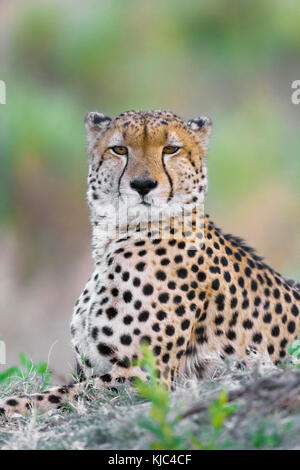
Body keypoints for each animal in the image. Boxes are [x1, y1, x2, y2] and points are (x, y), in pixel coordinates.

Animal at [1, 111, 298, 418]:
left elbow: (47, 396)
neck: (117, 235)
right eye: (120, 149)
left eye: (171, 149)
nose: (143, 185)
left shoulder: (144, 377)